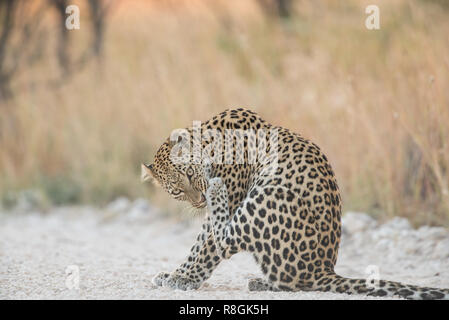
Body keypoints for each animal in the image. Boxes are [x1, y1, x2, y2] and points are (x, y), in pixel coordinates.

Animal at [143, 108, 448, 300]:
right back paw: (262, 282)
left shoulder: (232, 197)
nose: (199, 202)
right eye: (177, 191)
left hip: (264, 196)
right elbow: (198, 246)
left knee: (227, 237)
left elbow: (205, 248)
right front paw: (174, 274)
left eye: (190, 175)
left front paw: (182, 278)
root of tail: (322, 269)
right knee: (287, 280)